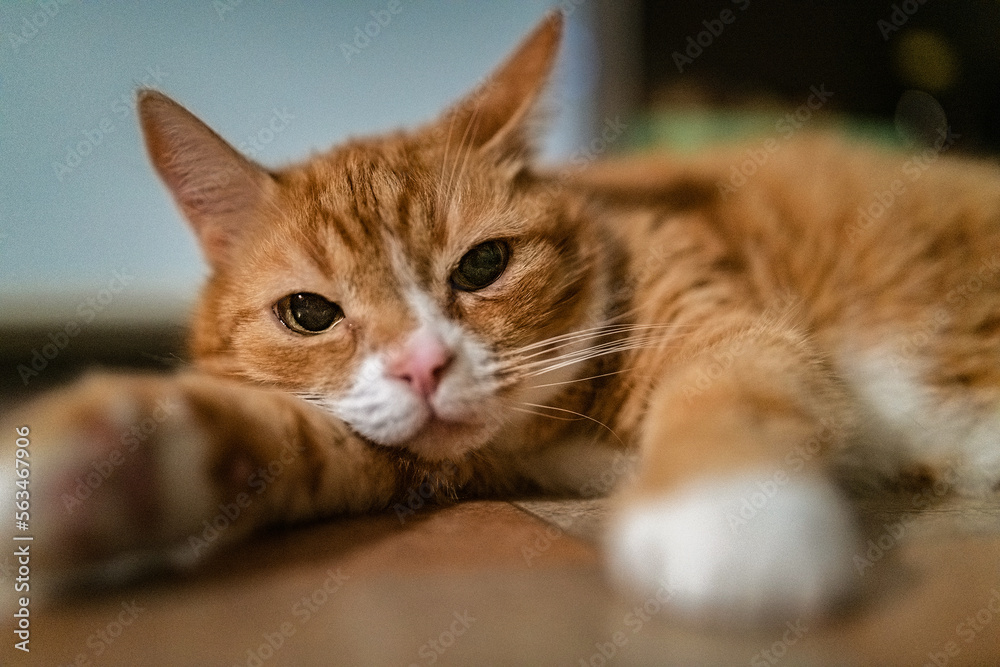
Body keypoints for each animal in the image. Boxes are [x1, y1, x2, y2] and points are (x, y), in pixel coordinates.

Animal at [5, 13, 1000, 624]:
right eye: (309, 312)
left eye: (483, 264)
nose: (422, 367)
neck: (549, 436)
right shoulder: (394, 451)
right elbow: (273, 434)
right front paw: (88, 470)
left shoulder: (723, 328)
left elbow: (733, 397)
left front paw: (731, 522)